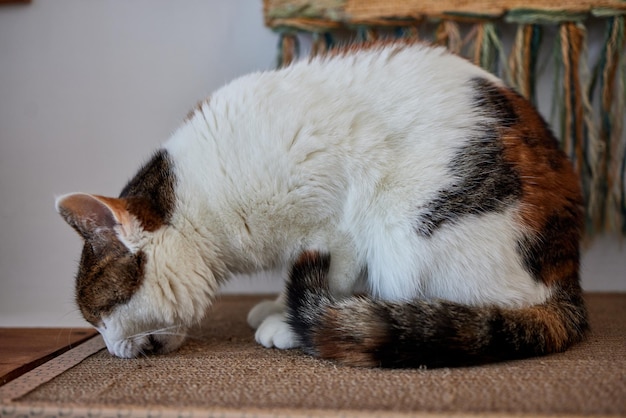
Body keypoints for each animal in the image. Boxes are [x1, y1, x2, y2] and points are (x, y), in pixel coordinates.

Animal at [56, 40, 588, 366]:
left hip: (407, 229)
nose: (110, 350)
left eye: (99, 315)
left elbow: (332, 274)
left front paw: (291, 326)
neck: (204, 201)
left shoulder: (338, 227)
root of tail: (566, 279)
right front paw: (276, 305)